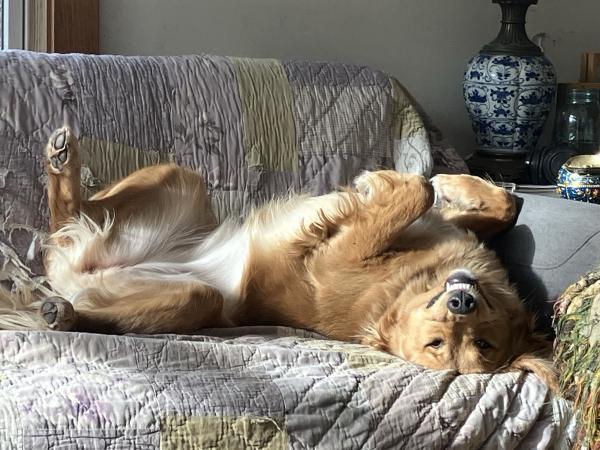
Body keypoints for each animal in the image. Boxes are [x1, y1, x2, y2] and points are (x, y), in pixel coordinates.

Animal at [9, 127, 556, 390]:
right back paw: (62, 160)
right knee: (69, 217)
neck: (408, 285)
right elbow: (485, 205)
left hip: (193, 297)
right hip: (181, 178)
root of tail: (77, 275)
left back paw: (62, 312)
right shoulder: (449, 233)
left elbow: (414, 195)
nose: (462, 300)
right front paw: (454, 182)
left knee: (81, 282)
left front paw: (391, 183)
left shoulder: (344, 256)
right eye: (439, 342)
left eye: (479, 344)